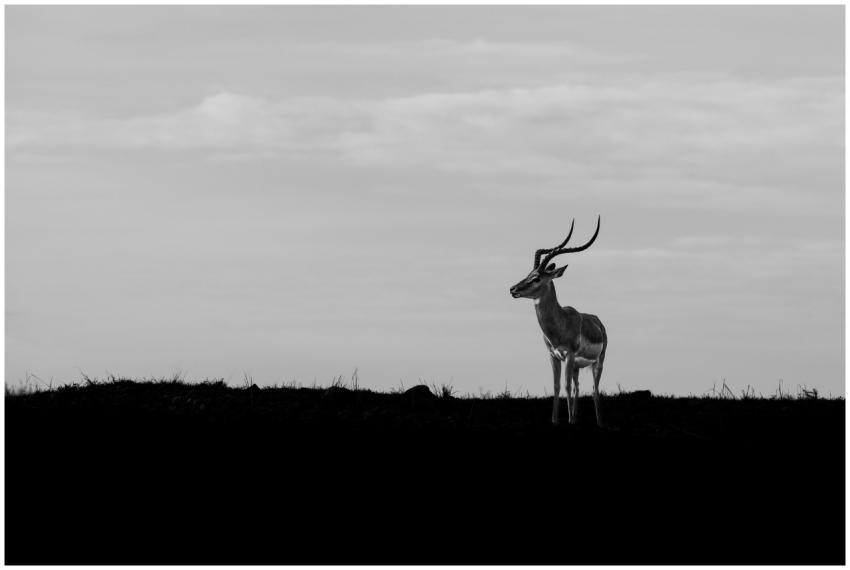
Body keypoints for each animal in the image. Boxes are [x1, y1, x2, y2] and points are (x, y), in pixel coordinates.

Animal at [509, 216, 607, 426]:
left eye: (537, 278)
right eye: (528, 273)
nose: (513, 289)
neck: (560, 323)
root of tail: (598, 321)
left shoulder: (568, 355)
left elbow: (566, 385)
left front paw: (568, 421)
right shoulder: (553, 356)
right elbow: (556, 386)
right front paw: (555, 421)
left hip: (598, 362)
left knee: (594, 389)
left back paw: (599, 423)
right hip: (578, 366)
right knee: (578, 386)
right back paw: (576, 417)